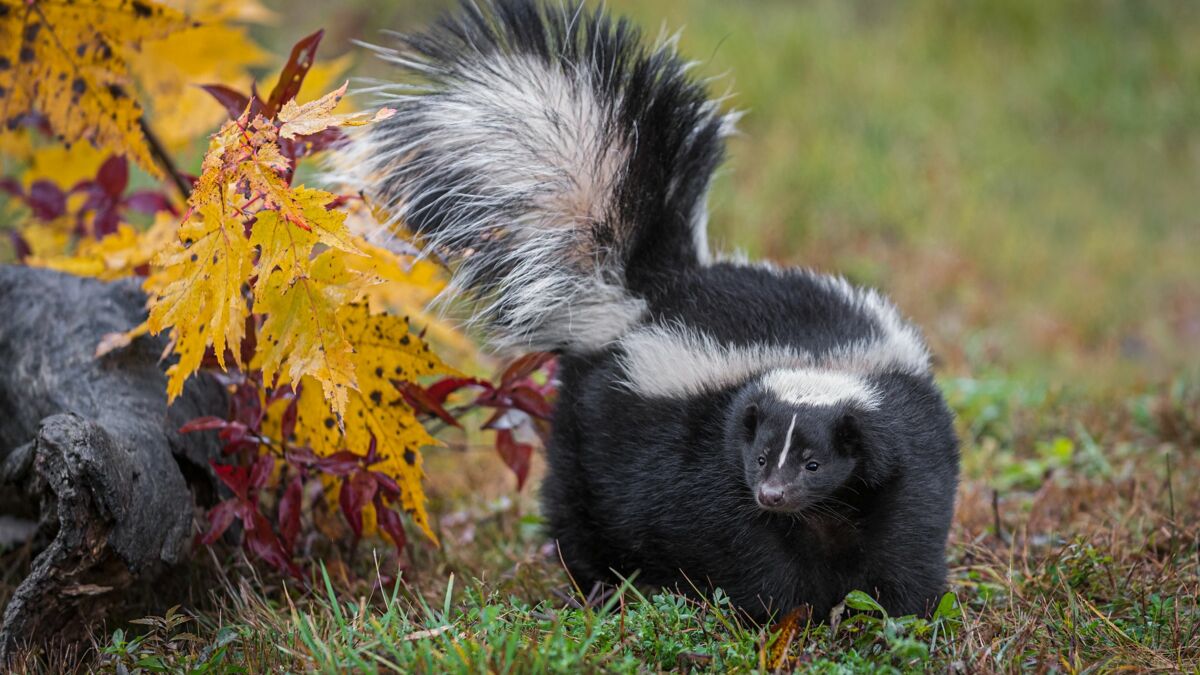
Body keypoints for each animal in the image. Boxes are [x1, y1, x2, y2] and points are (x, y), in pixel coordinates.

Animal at [343, 0, 960, 619]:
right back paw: (597, 583)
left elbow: (905, 534)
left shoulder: (905, 450)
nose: (772, 494)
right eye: (761, 458)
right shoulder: (706, 459)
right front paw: (784, 614)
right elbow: (744, 546)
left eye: (813, 464)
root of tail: (648, 288)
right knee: (578, 507)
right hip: (592, 427)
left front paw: (900, 611)